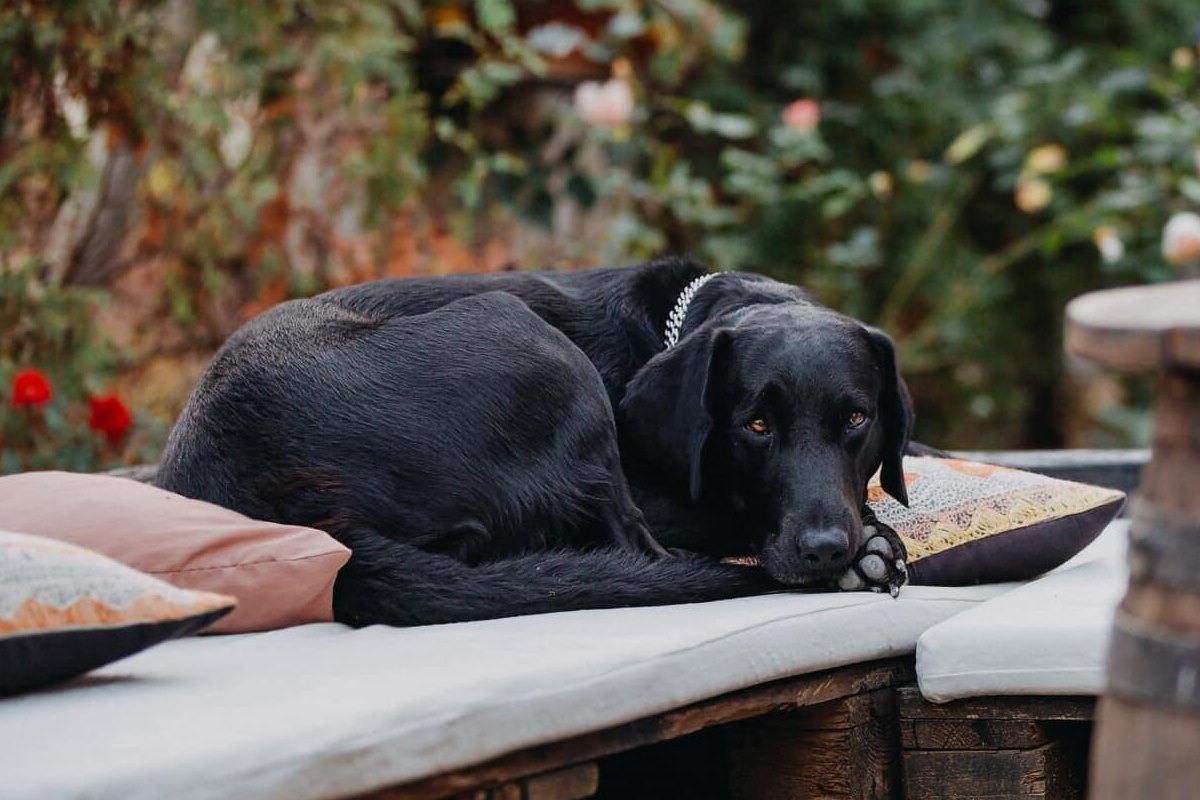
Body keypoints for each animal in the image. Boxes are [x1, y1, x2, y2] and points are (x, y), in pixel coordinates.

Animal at [157, 256, 907, 623]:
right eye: (755, 426)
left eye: (856, 420)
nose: (824, 548)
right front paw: (867, 547)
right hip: (528, 337)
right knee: (636, 547)